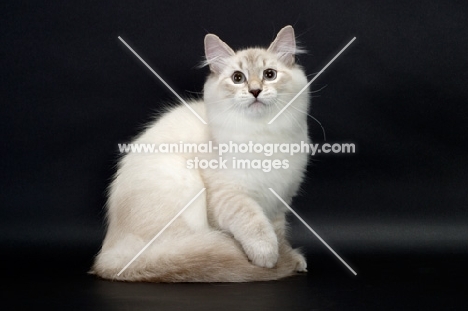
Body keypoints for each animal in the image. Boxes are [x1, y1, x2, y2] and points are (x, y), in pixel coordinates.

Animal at [91, 25, 310, 282]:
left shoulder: (278, 201)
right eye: (238, 78)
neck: (263, 135)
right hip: (184, 185)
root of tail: (109, 255)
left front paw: (288, 257)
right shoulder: (228, 196)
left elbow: (278, 233)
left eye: (269, 74)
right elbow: (254, 223)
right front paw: (267, 257)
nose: (255, 90)